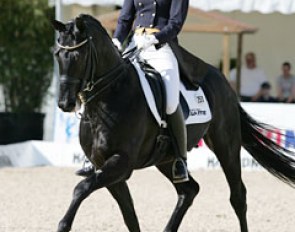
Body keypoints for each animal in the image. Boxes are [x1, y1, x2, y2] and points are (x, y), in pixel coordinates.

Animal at [52, 14, 294, 232]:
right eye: (57, 55)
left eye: (78, 55)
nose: (65, 103)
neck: (109, 97)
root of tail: (224, 82)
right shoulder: (107, 168)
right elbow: (129, 215)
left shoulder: (121, 162)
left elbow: (81, 188)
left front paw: (63, 225)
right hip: (167, 158)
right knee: (189, 190)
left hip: (226, 145)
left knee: (238, 196)